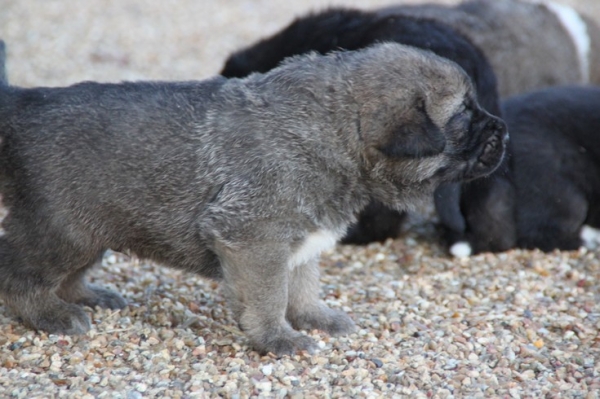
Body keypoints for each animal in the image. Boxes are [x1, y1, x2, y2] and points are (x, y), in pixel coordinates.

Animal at [0, 43, 506, 356]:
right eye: (463, 115)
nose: (502, 130)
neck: (337, 132)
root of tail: (23, 106)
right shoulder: (256, 239)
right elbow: (270, 295)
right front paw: (277, 337)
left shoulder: (300, 239)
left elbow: (301, 285)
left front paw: (313, 318)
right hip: (63, 231)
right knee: (19, 274)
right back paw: (52, 314)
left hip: (90, 228)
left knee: (65, 273)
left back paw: (87, 296)